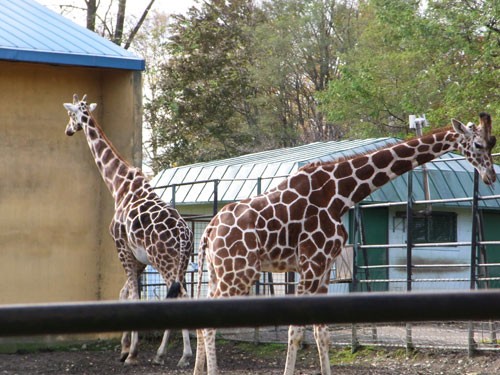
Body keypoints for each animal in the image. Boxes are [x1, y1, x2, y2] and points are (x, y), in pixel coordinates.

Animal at [63, 93, 195, 368]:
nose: (68, 130)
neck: (118, 185)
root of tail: (184, 236)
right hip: (182, 263)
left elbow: (133, 297)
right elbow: (124, 293)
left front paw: (132, 353)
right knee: (184, 296)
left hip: (165, 262)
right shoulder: (139, 258)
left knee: (178, 296)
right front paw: (124, 348)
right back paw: (175, 355)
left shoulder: (121, 248)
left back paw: (176, 355)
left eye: (70, 114)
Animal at [194, 112, 496, 375]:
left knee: (200, 322)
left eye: (492, 143)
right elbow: (296, 332)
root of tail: (209, 231)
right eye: (478, 144)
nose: (490, 177)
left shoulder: (323, 267)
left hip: (219, 272)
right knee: (207, 326)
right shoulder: (311, 263)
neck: (340, 193)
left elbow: (322, 333)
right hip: (239, 272)